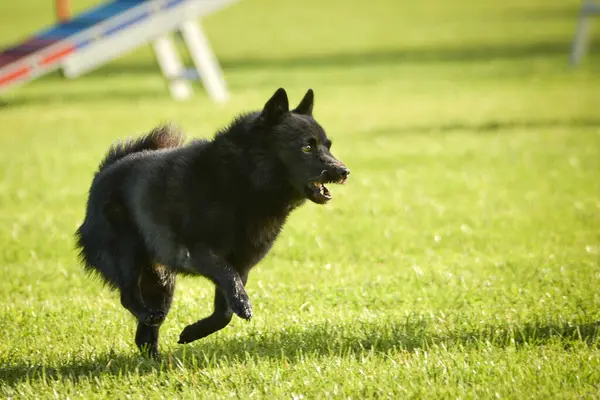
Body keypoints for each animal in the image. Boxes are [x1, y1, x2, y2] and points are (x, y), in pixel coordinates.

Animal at [75, 89, 350, 358]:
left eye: (328, 145)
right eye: (306, 148)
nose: (344, 171)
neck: (244, 181)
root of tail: (104, 171)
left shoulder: (242, 264)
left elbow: (225, 311)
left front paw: (193, 332)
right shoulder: (199, 253)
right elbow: (228, 278)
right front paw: (242, 305)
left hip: (161, 280)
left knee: (145, 332)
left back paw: (155, 359)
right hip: (128, 254)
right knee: (128, 297)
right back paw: (148, 319)